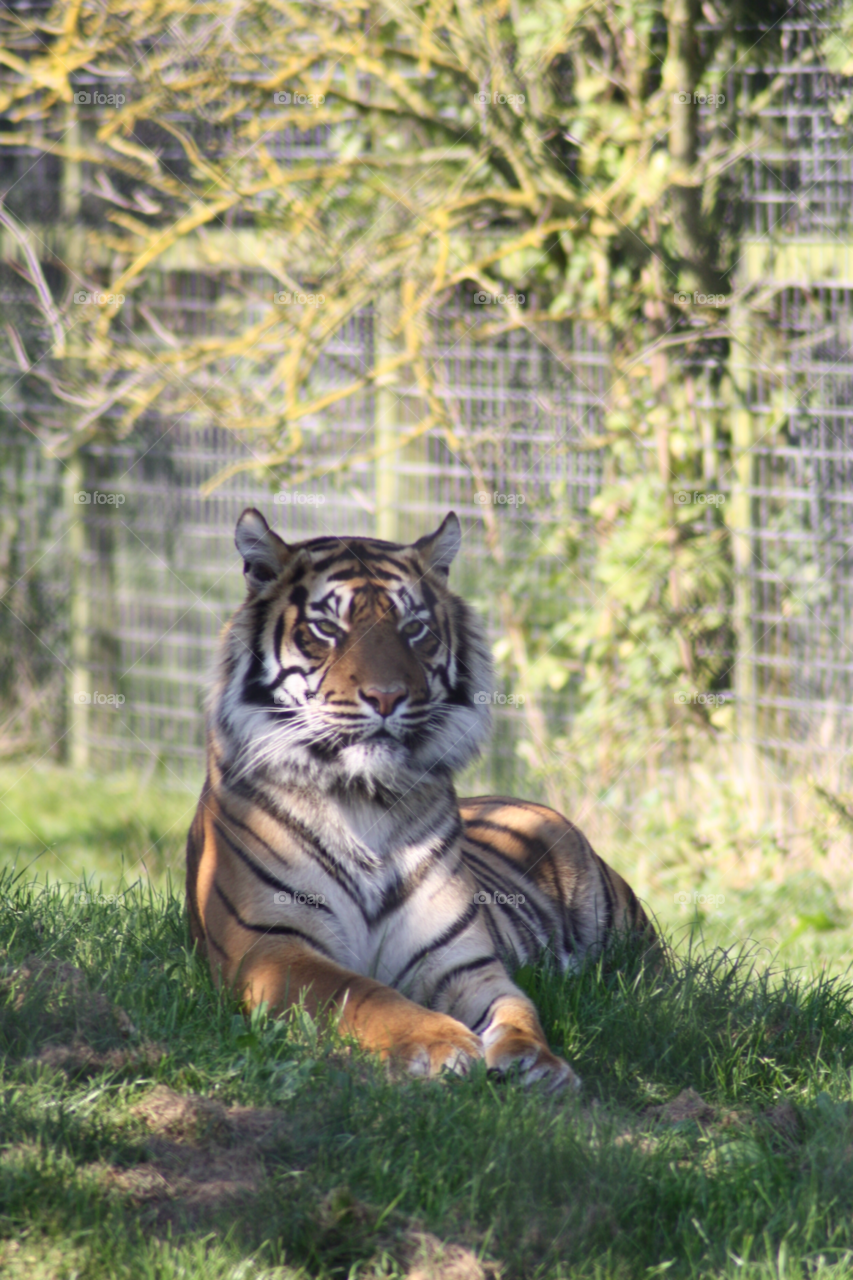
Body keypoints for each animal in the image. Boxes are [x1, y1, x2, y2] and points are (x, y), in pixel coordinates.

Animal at [186, 507, 654, 1092]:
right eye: (327, 629)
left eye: (414, 629)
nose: (387, 696)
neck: (364, 800)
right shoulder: (272, 946)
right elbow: (362, 993)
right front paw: (441, 1043)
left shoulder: (462, 962)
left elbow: (518, 1010)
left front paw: (537, 1064)